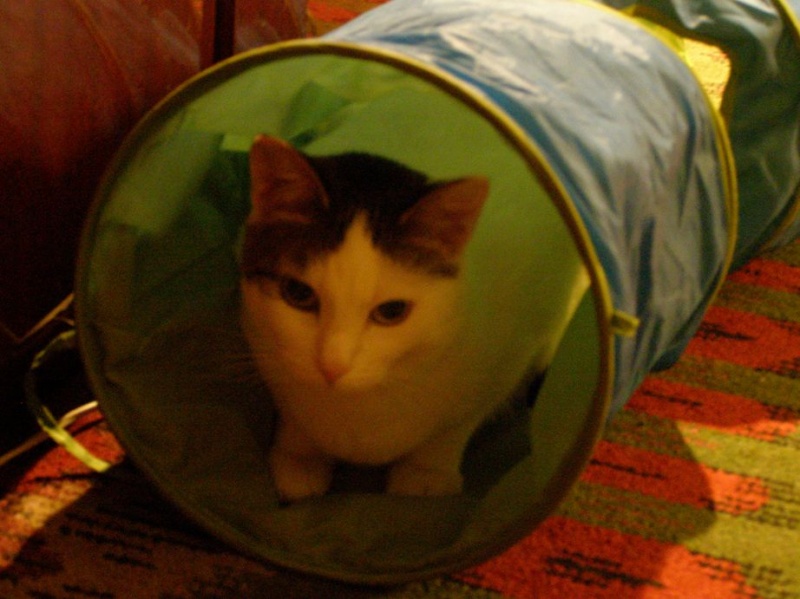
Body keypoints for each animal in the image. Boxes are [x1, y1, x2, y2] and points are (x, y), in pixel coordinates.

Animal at [239, 134, 541, 502]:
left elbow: (454, 429)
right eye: (297, 293)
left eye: (392, 312)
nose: (332, 366)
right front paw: (300, 457)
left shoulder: (508, 355)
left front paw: (426, 473)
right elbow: (293, 414)